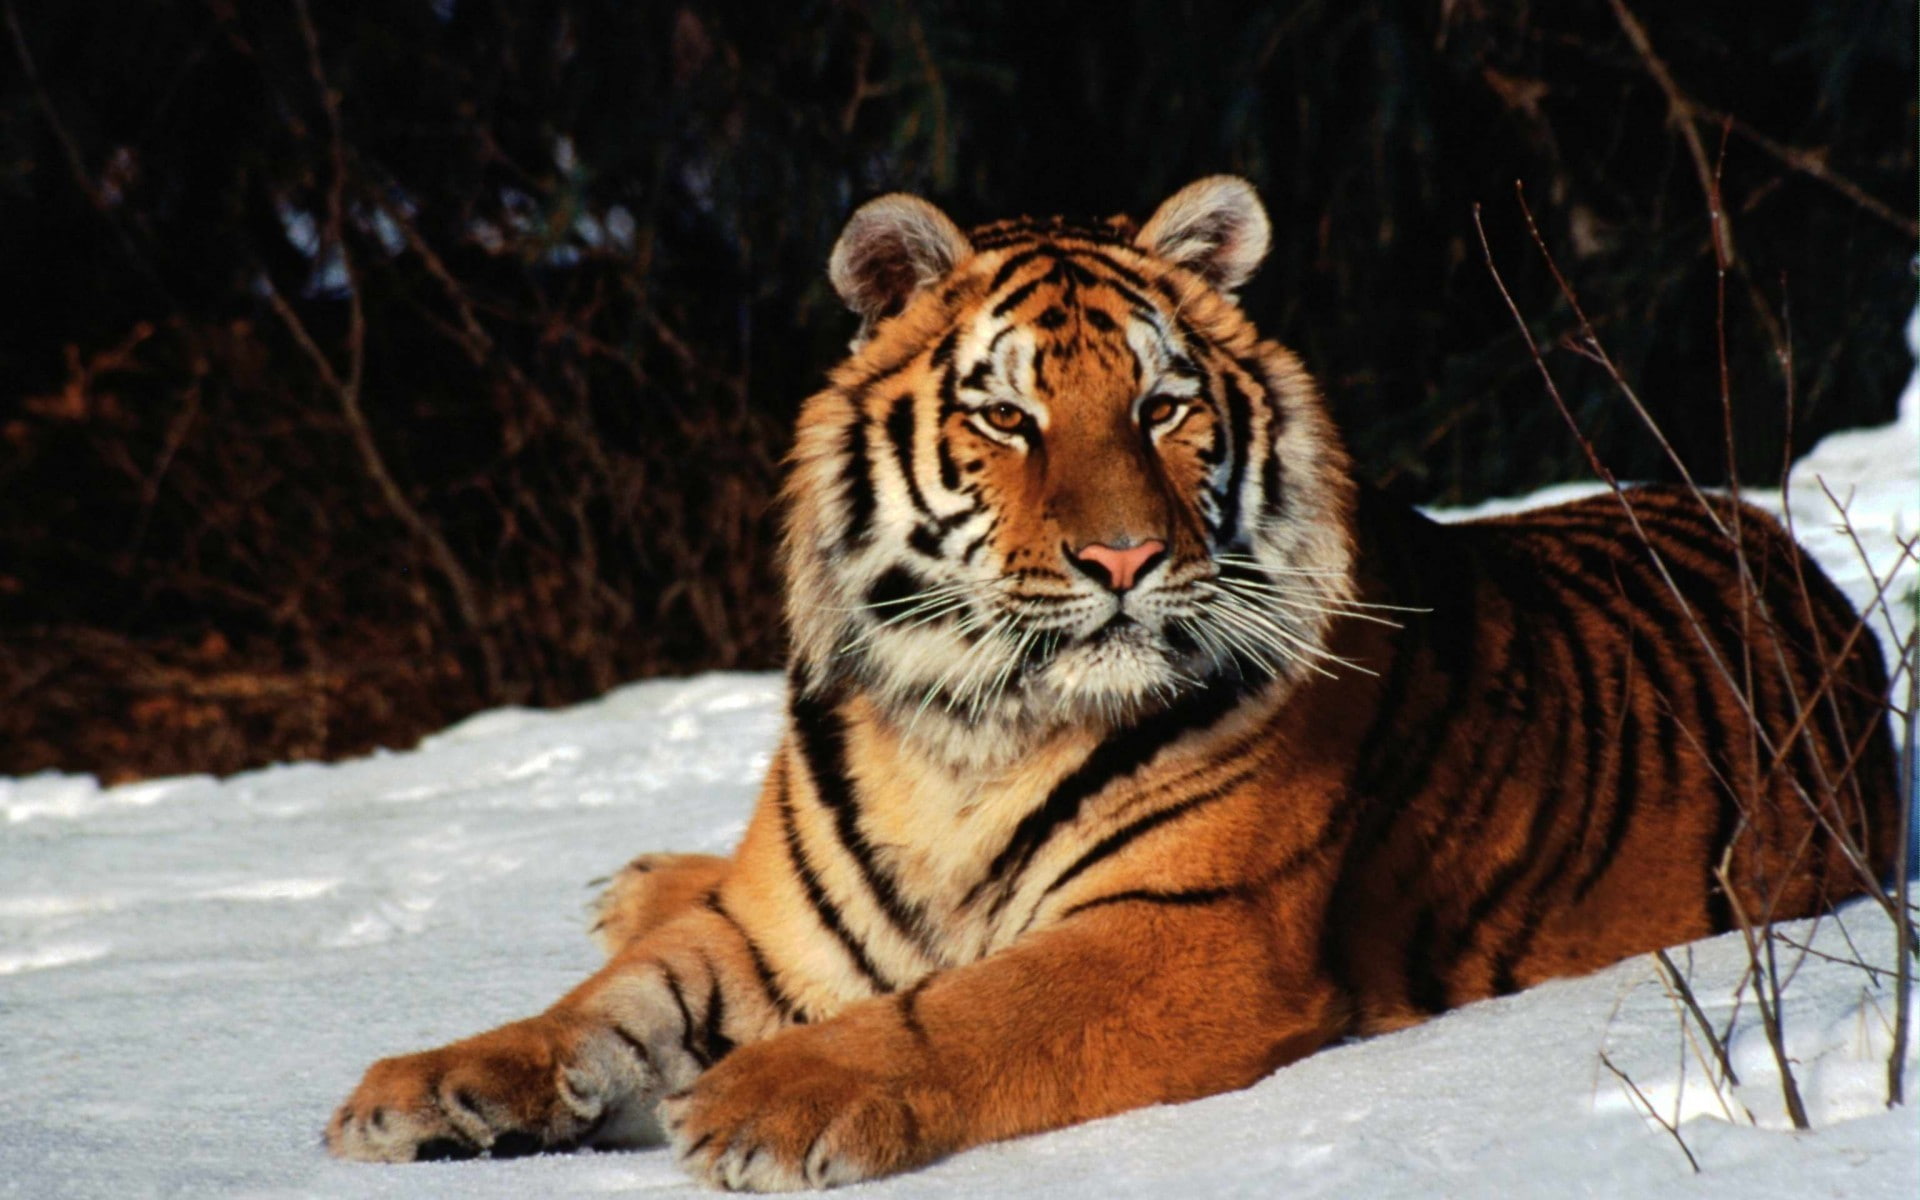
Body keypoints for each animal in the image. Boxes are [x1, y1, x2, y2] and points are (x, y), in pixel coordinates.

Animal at [325, 177, 1899, 1189]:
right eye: (1007, 417)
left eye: (1163, 405)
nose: (1128, 556)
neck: (964, 729)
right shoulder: (778, 929)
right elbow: (602, 1008)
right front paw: (424, 1089)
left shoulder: (1186, 932)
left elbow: (962, 1012)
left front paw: (767, 1102)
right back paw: (634, 879)